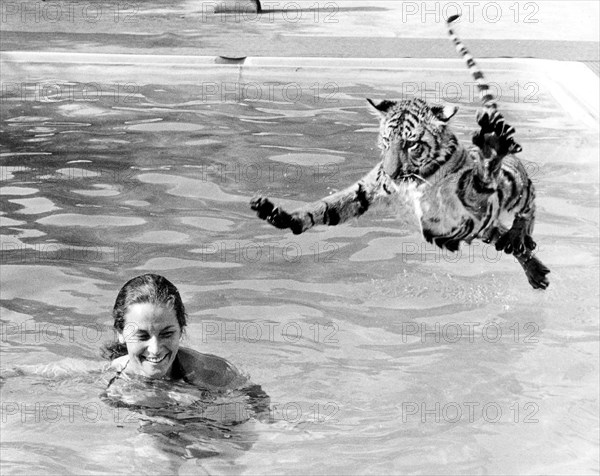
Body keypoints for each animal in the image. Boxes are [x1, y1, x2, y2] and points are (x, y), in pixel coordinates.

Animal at [251, 14, 552, 290]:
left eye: (410, 144)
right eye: (386, 140)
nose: (391, 171)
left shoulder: (469, 204)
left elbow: (479, 185)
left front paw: (489, 147)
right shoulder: (368, 189)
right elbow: (327, 207)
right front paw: (279, 214)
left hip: (512, 192)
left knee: (527, 202)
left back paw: (518, 230)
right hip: (486, 228)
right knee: (506, 235)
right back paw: (533, 267)